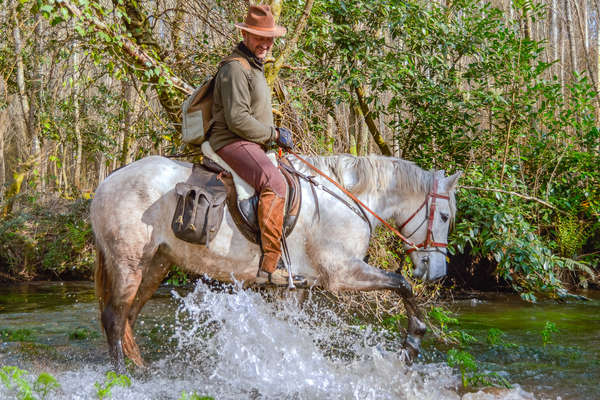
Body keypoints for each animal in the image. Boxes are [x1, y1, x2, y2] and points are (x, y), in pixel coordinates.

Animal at [91, 152, 462, 372]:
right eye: (444, 216)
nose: (437, 272)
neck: (346, 201)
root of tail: (108, 180)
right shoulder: (343, 274)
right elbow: (403, 284)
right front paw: (412, 343)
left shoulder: (297, 287)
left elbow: (289, 329)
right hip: (129, 263)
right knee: (114, 318)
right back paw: (123, 375)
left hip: (156, 264)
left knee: (128, 317)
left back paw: (140, 369)